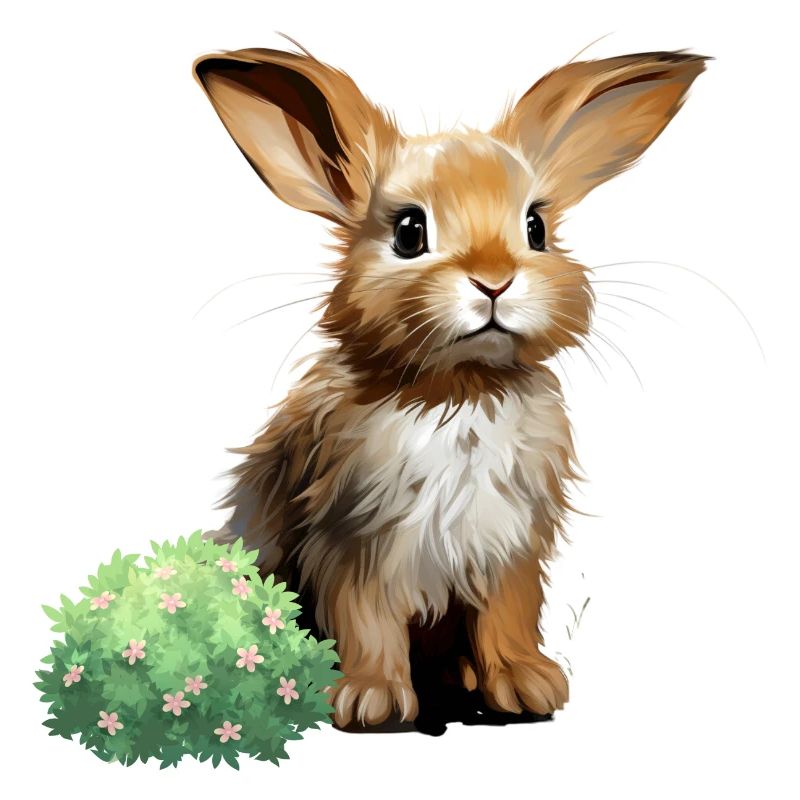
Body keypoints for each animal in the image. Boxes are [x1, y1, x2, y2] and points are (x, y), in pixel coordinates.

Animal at [194, 45, 707, 728]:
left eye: (536, 227)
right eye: (410, 232)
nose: (495, 280)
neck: (461, 390)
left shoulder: (510, 547)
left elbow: (507, 615)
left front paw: (526, 684)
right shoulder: (354, 541)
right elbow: (365, 619)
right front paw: (371, 699)